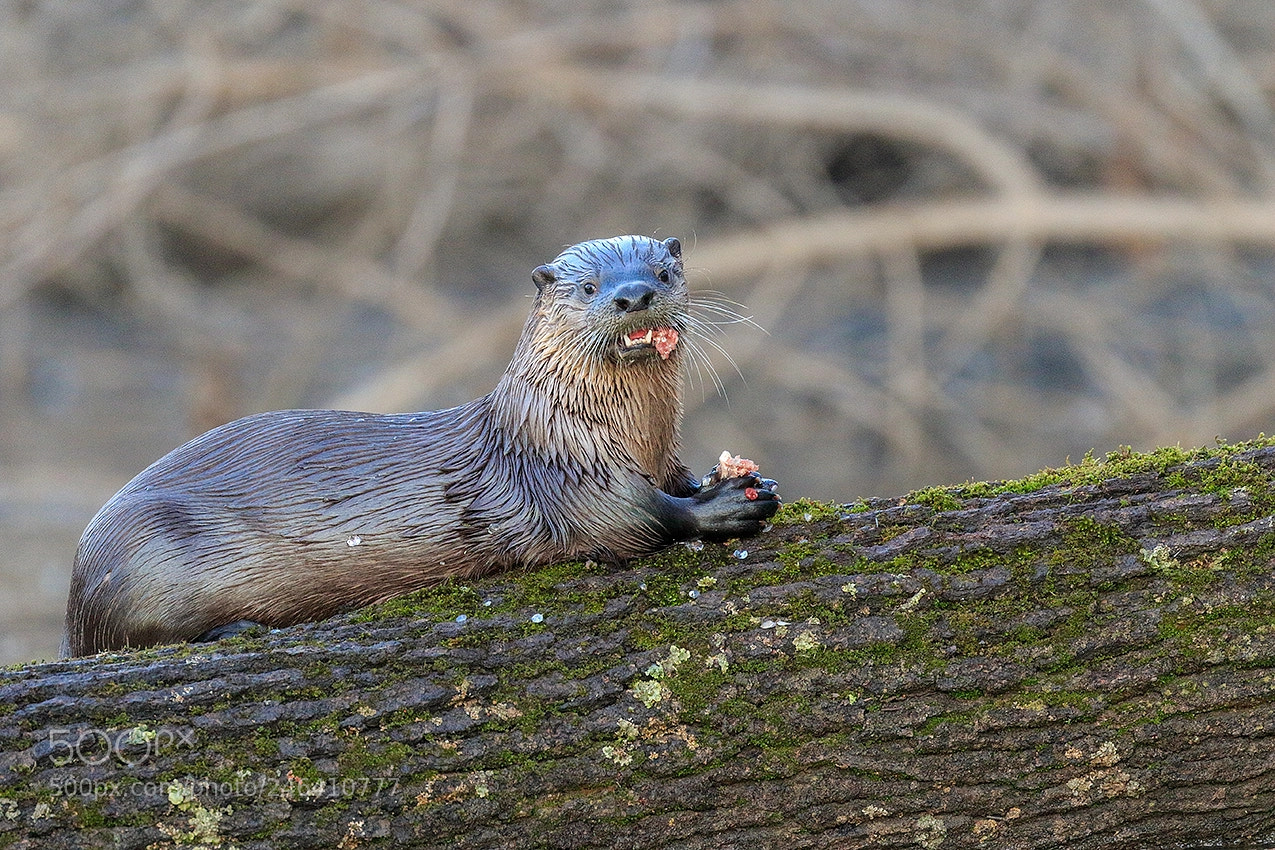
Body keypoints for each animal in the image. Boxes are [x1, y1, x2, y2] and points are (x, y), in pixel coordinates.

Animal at [64, 235, 780, 656]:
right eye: (587, 287)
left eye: (663, 270)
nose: (634, 295)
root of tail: (76, 595)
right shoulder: (567, 474)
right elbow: (635, 517)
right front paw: (722, 507)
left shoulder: (655, 456)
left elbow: (672, 484)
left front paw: (744, 481)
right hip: (149, 552)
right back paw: (236, 628)